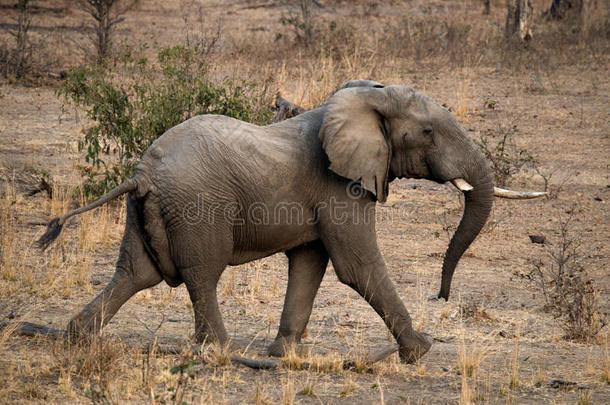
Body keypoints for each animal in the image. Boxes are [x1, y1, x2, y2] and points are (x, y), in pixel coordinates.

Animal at [35, 80, 544, 362]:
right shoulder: (340, 186)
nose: (441, 296)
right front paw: (421, 351)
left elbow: (310, 264)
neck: (364, 100)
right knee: (201, 273)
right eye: (428, 132)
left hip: (148, 212)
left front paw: (286, 355)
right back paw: (220, 352)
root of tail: (141, 173)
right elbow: (356, 266)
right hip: (198, 206)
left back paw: (77, 337)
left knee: (134, 273)